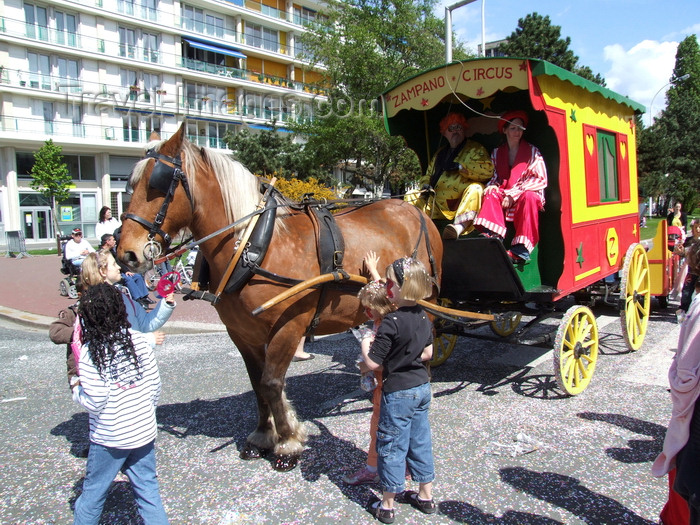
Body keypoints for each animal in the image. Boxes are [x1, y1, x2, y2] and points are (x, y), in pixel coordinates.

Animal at [116, 124, 442, 470]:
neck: (254, 245)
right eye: (130, 183)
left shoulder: (289, 326)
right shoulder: (241, 332)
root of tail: (415, 210)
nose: (125, 253)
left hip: (427, 302)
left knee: (427, 343)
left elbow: (272, 382)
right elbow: (257, 383)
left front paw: (287, 442)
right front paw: (262, 436)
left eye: (158, 182)